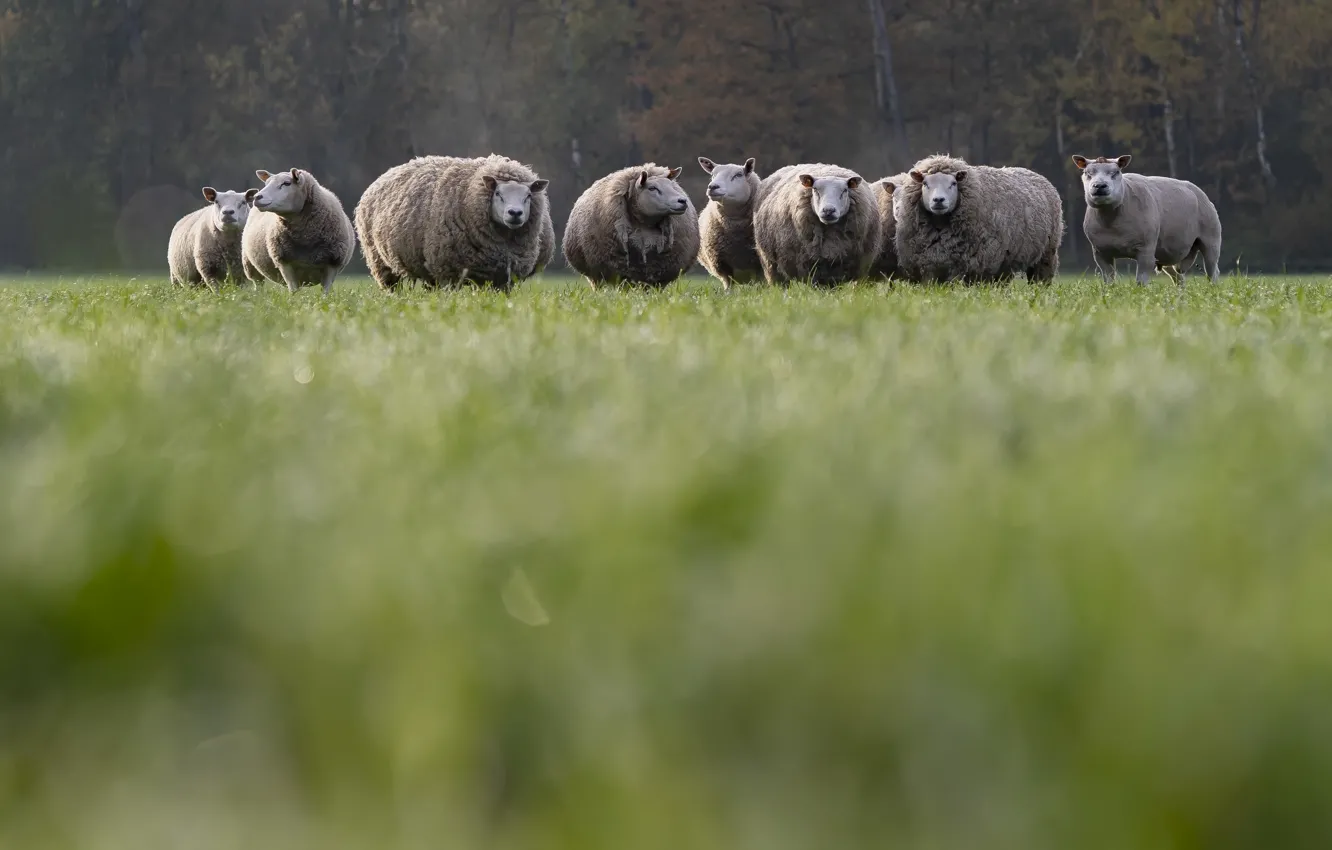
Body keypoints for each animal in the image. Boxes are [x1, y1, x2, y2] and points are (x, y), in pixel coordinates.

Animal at [355, 154, 554, 292]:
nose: (515, 213)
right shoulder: (447, 271)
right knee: (393, 289)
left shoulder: (502, 278)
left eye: (528, 195)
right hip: (381, 262)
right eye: (498, 194)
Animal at [562, 163, 700, 287]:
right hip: (597, 277)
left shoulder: (656, 272)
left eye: (672, 186)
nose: (683, 201)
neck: (643, 225)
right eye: (652, 188)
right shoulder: (620, 270)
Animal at [696, 156, 762, 290]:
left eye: (738, 175)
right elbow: (728, 286)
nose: (712, 187)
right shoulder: (721, 263)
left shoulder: (758, 265)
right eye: (712, 174)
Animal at [895, 154, 1062, 284]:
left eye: (953, 183)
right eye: (925, 183)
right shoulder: (928, 266)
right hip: (1006, 260)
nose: (938, 200)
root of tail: (1034, 173)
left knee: (1040, 278)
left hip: (1047, 253)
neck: (940, 224)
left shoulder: (969, 265)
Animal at [1072, 155, 1222, 286]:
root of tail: (1197, 190)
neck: (1111, 222)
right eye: (1087, 173)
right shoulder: (1100, 253)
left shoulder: (1146, 250)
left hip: (1211, 240)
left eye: (1116, 172)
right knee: (1179, 277)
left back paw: (1212, 289)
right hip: (1166, 252)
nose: (1099, 185)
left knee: (1213, 271)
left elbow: (1141, 281)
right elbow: (1109, 281)